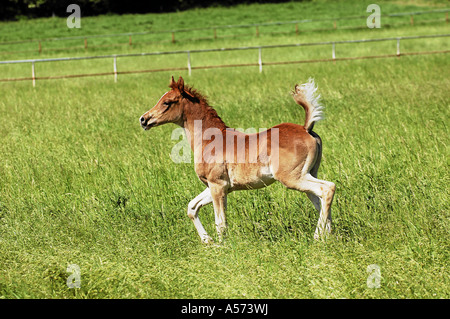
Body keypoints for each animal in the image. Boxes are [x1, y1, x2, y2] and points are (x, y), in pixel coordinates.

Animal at [140, 77, 334, 242]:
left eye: (167, 102)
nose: (144, 119)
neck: (210, 139)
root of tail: (305, 128)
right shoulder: (218, 187)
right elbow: (192, 208)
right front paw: (208, 242)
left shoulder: (217, 186)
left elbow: (220, 223)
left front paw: (221, 247)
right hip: (308, 174)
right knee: (320, 200)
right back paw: (329, 235)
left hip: (293, 178)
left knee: (327, 189)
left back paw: (318, 236)